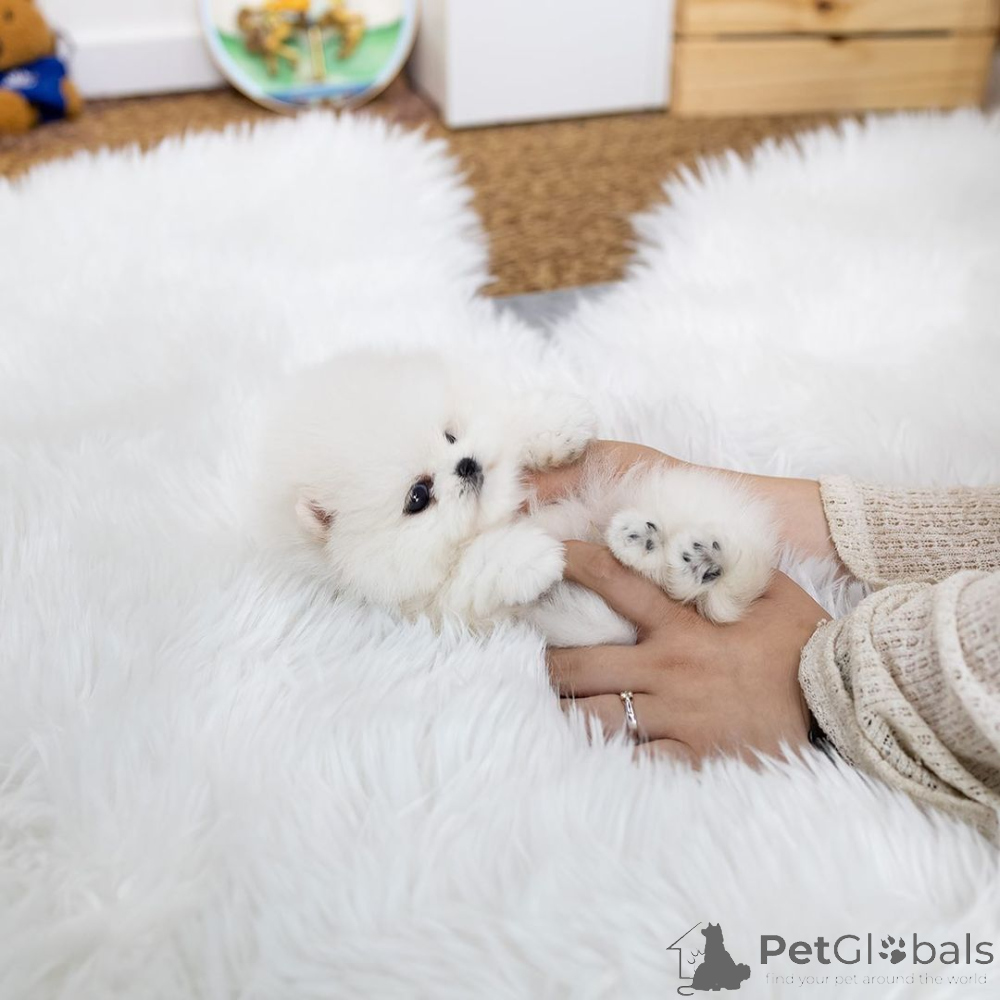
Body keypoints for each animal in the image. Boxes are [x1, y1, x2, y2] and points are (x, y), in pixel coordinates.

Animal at [258, 351, 777, 646]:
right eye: (418, 496)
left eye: (451, 436)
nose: (467, 465)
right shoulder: (432, 605)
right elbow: (475, 565)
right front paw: (534, 557)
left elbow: (510, 425)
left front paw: (560, 421)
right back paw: (656, 549)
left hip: (673, 491)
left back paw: (691, 556)